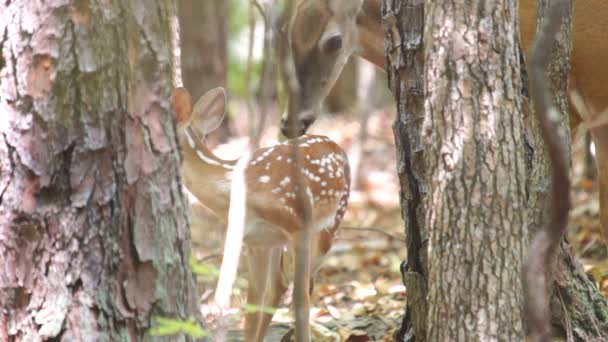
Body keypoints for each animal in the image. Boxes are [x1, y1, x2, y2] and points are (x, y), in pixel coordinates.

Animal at [171, 87, 352, 340]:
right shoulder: (255, 240)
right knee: (278, 285)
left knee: (304, 285)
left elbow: (300, 301)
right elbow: (252, 309)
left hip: (330, 224)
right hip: (276, 240)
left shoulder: (299, 224)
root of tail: (336, 145)